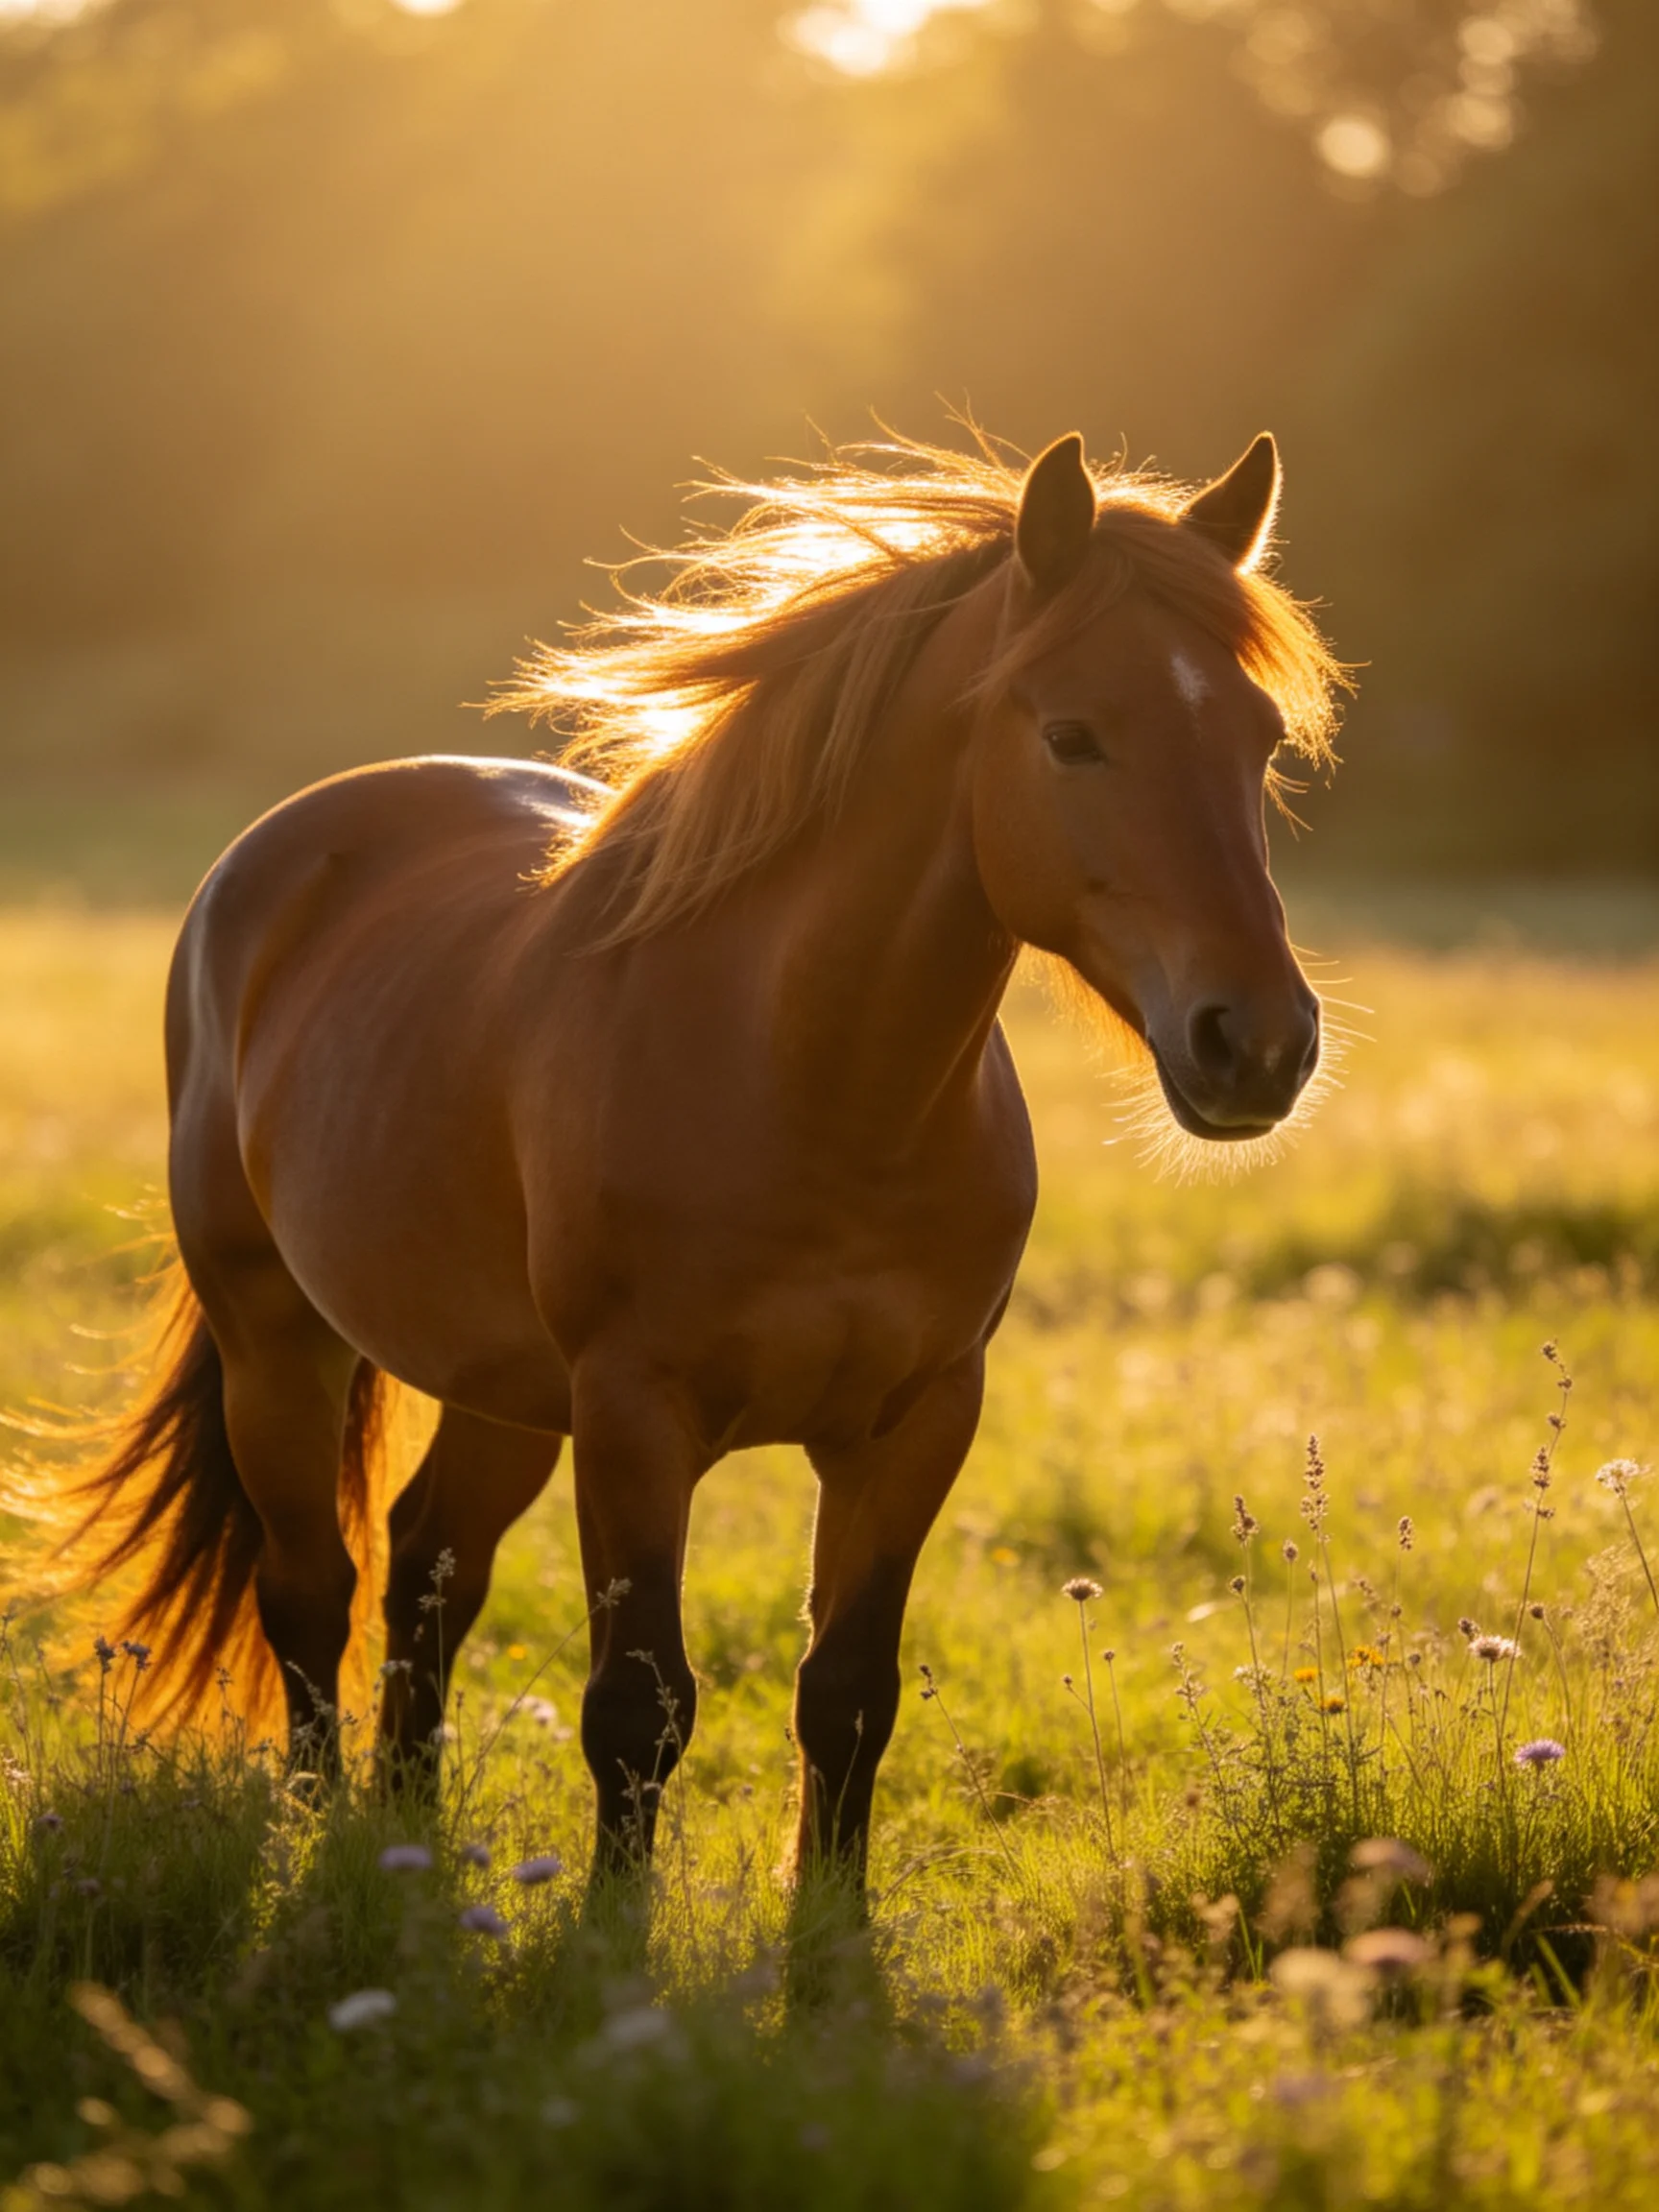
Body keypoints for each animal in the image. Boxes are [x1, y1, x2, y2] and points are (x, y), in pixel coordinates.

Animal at [54, 426, 1342, 1882]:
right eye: (1074, 736)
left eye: (1260, 741)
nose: (1260, 1043)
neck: (814, 1087)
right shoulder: (634, 1416)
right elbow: (637, 1706)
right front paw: (613, 1932)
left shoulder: (918, 1421)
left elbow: (847, 1699)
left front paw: (827, 1935)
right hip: (278, 1335)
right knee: (311, 1591)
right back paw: (319, 1837)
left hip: (499, 1386)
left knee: (430, 1566)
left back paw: (402, 1846)